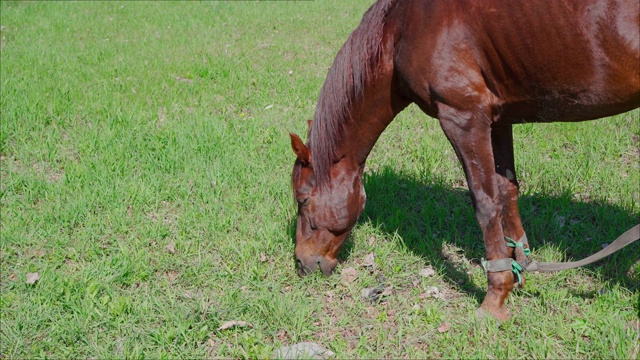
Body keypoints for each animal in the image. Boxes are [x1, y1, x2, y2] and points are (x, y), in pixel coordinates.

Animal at [290, 0, 640, 320]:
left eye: (303, 199)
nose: (302, 263)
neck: (402, 29)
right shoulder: (498, 119)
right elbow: (507, 191)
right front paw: (519, 267)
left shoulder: (464, 118)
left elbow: (485, 203)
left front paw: (495, 297)